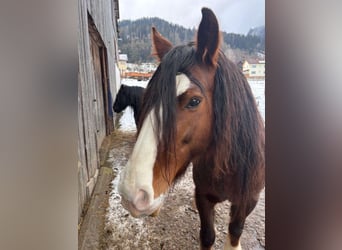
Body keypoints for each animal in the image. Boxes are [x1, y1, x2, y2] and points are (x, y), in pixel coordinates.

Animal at [117, 7, 264, 250]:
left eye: (194, 101)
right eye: (148, 96)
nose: (132, 194)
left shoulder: (247, 200)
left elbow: (235, 231)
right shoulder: (203, 196)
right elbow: (207, 235)